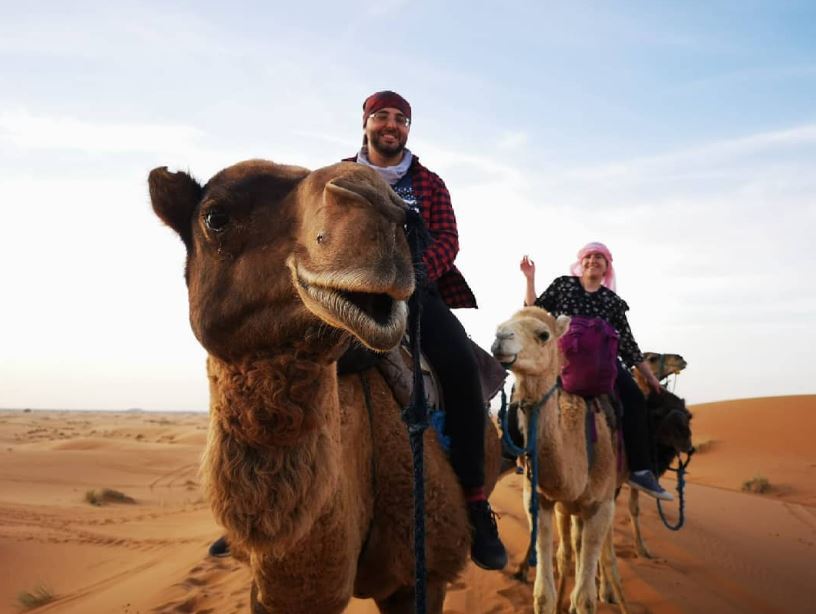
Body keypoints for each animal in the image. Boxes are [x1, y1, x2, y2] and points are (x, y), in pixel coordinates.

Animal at [488, 308, 628, 614]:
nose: (501, 338)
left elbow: (586, 598)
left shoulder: (600, 506)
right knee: (569, 549)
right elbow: (543, 595)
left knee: (601, 552)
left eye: (543, 334)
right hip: (567, 509)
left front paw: (587, 597)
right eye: (501, 325)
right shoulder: (539, 500)